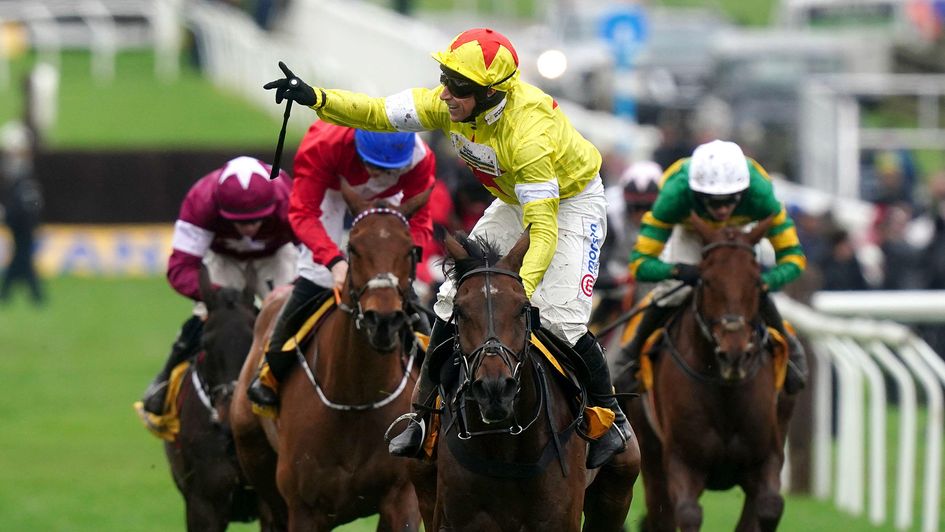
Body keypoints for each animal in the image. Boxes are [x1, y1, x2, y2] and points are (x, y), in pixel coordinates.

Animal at [412, 232, 640, 532]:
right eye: (459, 311)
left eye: (522, 308)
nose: (495, 389)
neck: (505, 447)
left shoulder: (559, 519)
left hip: (615, 495)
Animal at [620, 216, 796, 532]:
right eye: (707, 280)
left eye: (757, 282)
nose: (734, 353)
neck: (724, 390)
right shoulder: (682, 461)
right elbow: (688, 514)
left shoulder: (765, 458)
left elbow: (769, 507)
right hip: (650, 454)